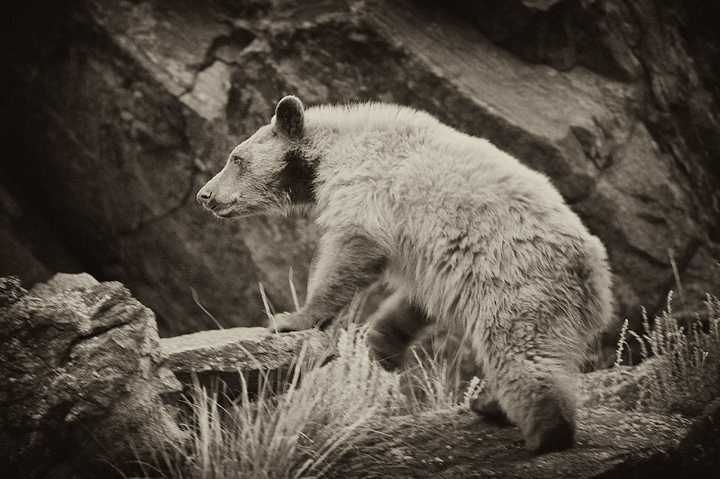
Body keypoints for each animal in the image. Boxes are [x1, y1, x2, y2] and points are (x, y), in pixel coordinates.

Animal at [197, 95, 612, 456]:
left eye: (236, 158)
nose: (205, 195)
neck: (330, 152)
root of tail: (596, 273)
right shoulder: (432, 258)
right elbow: (415, 300)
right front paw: (381, 344)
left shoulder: (370, 187)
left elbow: (351, 247)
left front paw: (292, 317)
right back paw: (490, 403)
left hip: (518, 281)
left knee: (522, 352)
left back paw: (541, 433)